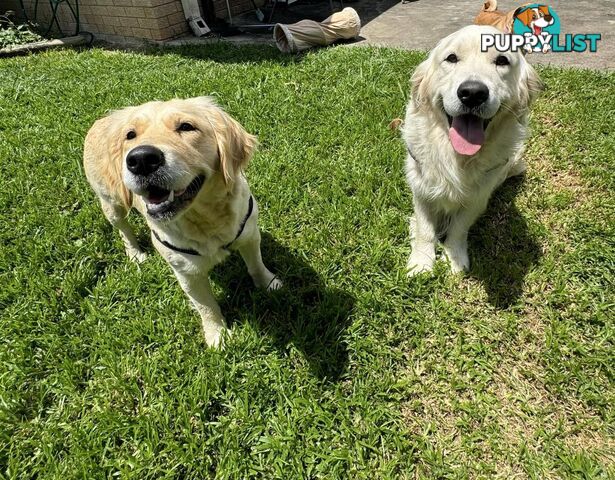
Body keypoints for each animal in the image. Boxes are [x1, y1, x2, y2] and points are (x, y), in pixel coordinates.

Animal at [83, 97, 282, 346]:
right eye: (130, 135)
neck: (206, 218)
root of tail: (100, 120)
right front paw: (217, 336)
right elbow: (206, 306)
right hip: (111, 203)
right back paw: (136, 253)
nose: (141, 159)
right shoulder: (187, 271)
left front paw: (269, 283)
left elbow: (256, 265)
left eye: (186, 127)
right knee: (123, 230)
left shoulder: (250, 234)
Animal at [404, 24, 544, 276]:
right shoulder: (421, 189)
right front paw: (421, 264)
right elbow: (424, 229)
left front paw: (455, 259)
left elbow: (459, 228)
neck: (457, 156)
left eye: (502, 60)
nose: (472, 93)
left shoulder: (477, 197)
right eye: (451, 58)